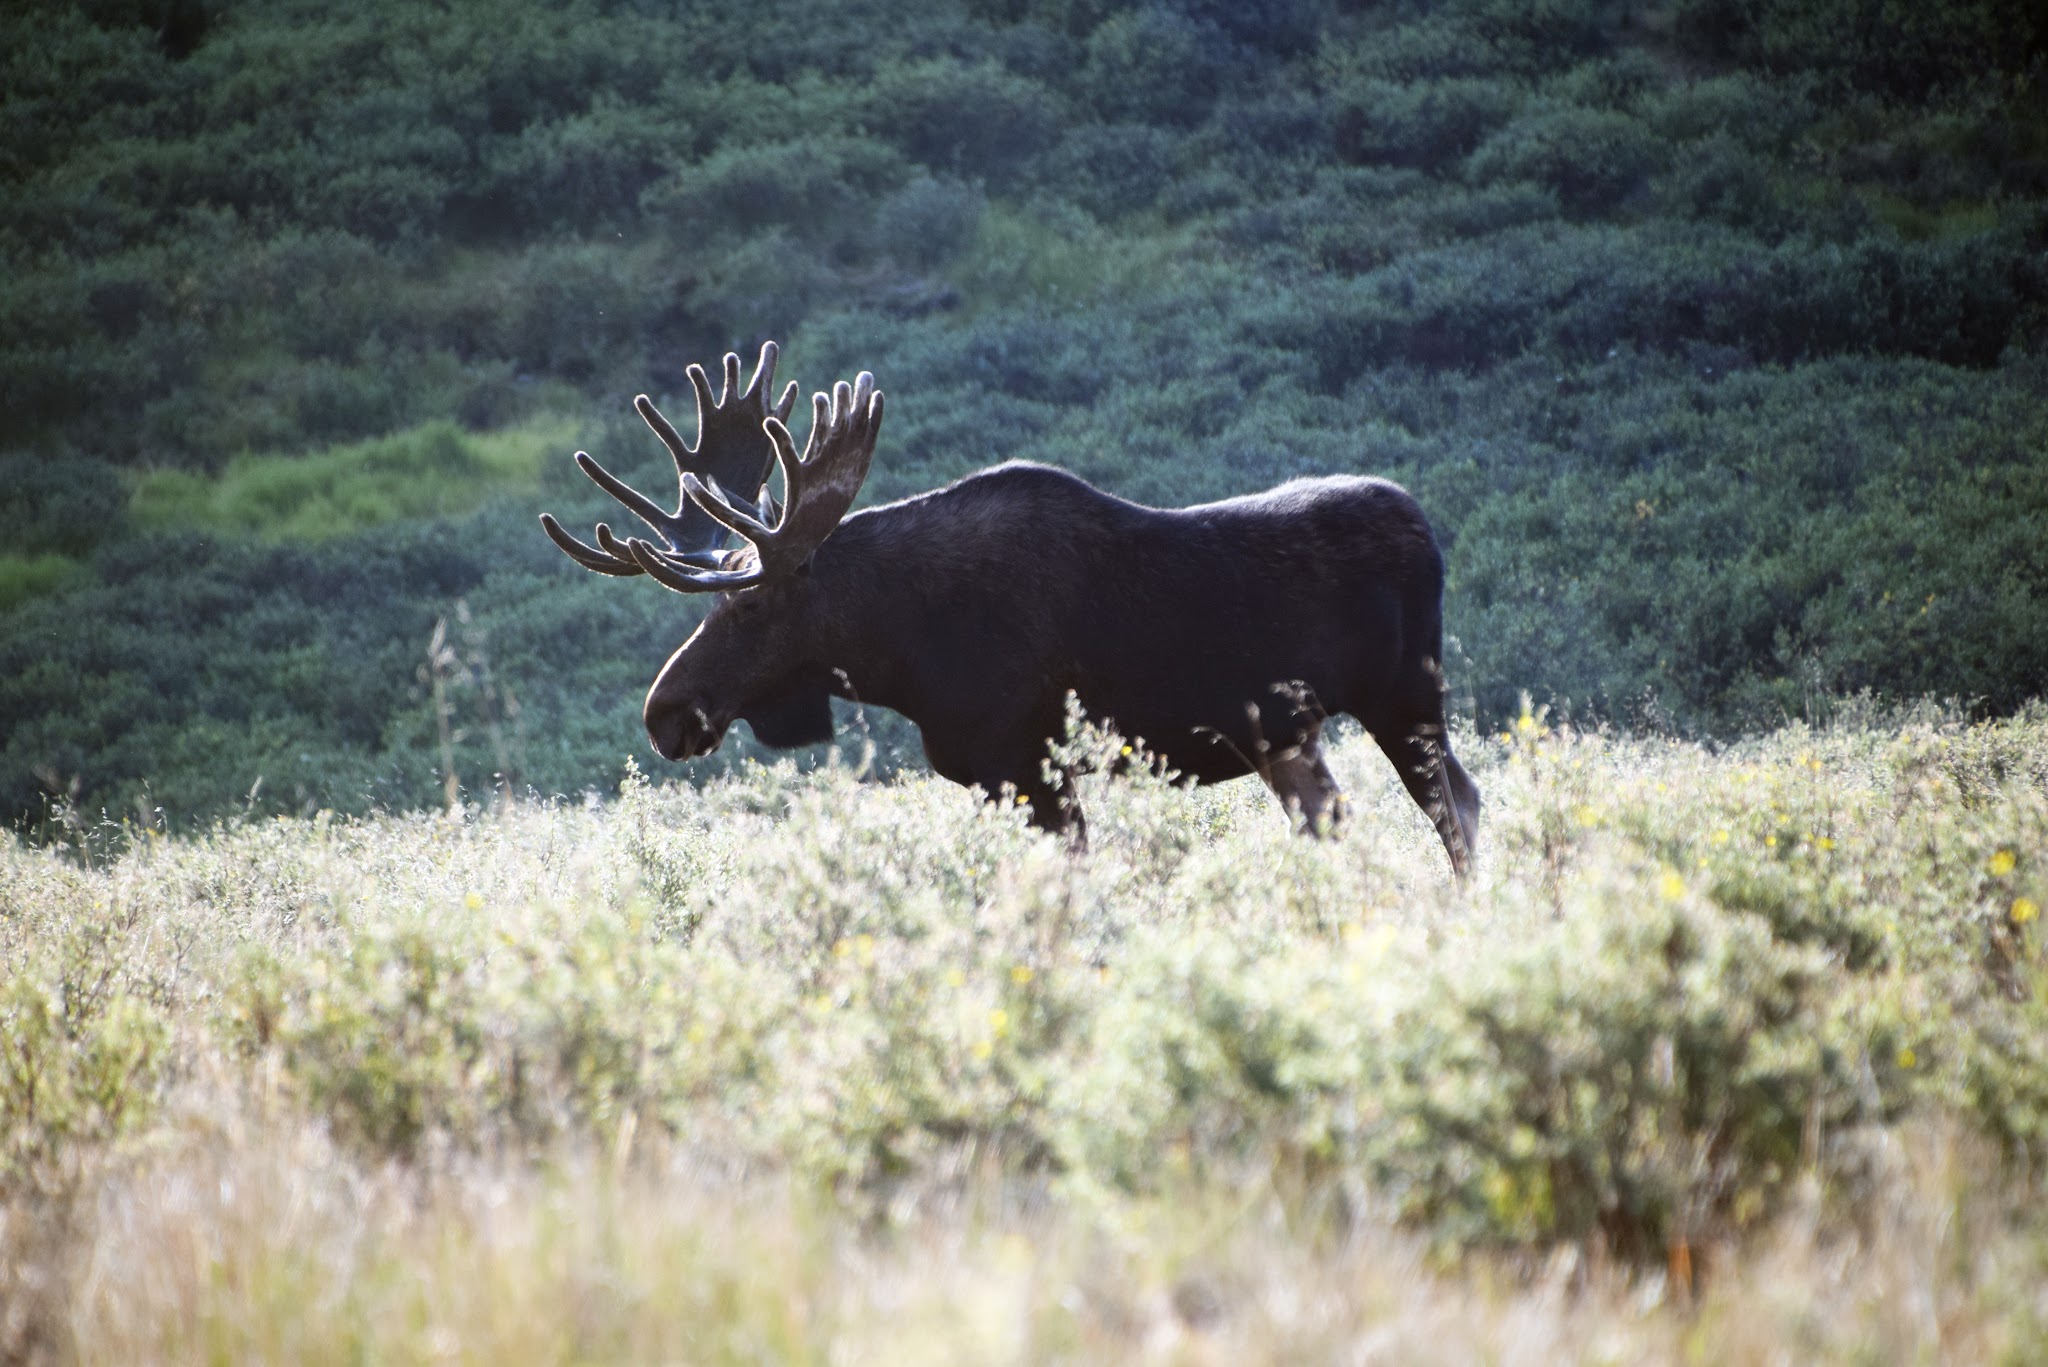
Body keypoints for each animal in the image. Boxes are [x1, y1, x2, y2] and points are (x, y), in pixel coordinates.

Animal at [541, 343, 1480, 877]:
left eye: (749, 609)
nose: (665, 712)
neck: (896, 653)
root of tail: (1425, 526)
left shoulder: (1026, 764)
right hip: (1290, 735)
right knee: (1333, 820)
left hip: (1406, 693)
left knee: (1457, 804)